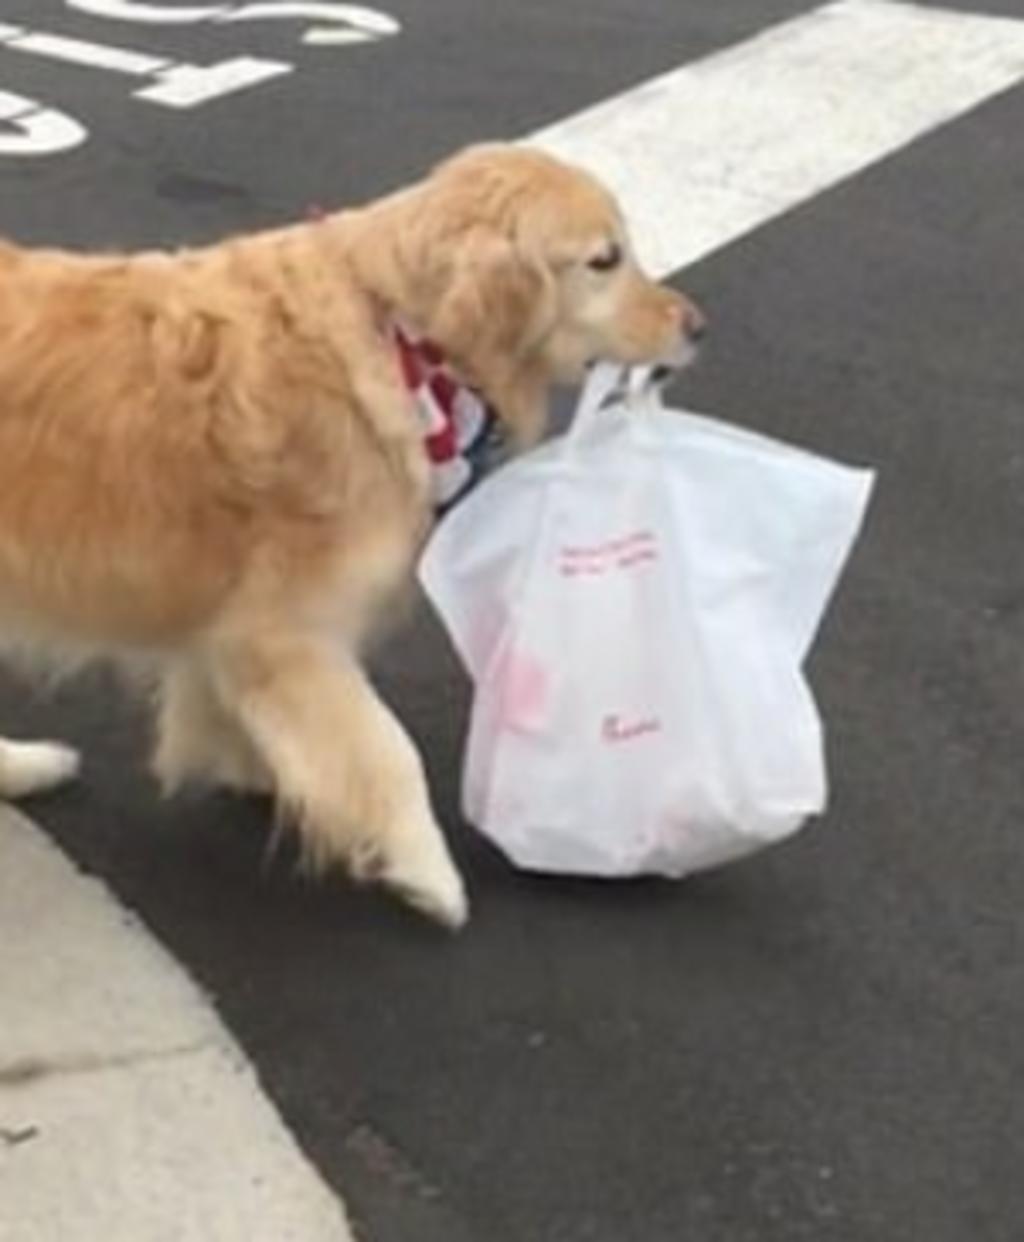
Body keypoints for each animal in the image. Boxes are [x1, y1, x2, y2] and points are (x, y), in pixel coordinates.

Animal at [0, 142, 705, 924]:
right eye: (605, 259)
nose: (698, 325)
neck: (403, 337)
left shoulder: (239, 629)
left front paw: (260, 767)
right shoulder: (288, 632)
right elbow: (388, 752)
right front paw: (428, 871)